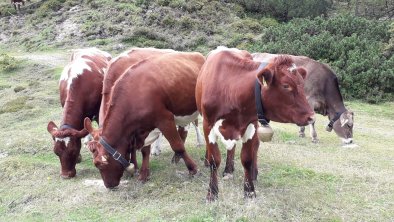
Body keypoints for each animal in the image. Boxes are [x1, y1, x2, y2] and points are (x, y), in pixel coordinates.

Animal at [84, 50, 205, 187]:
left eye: (100, 164)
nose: (109, 185)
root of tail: (198, 54)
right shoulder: (144, 128)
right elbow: (145, 151)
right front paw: (143, 175)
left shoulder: (165, 119)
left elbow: (177, 145)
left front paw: (193, 169)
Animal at [196, 46, 314, 200]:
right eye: (286, 86)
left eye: (302, 84)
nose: (312, 117)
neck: (231, 89)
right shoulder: (208, 124)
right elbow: (214, 160)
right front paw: (212, 193)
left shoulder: (250, 125)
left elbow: (247, 159)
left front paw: (249, 190)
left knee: (251, 147)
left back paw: (242, 172)